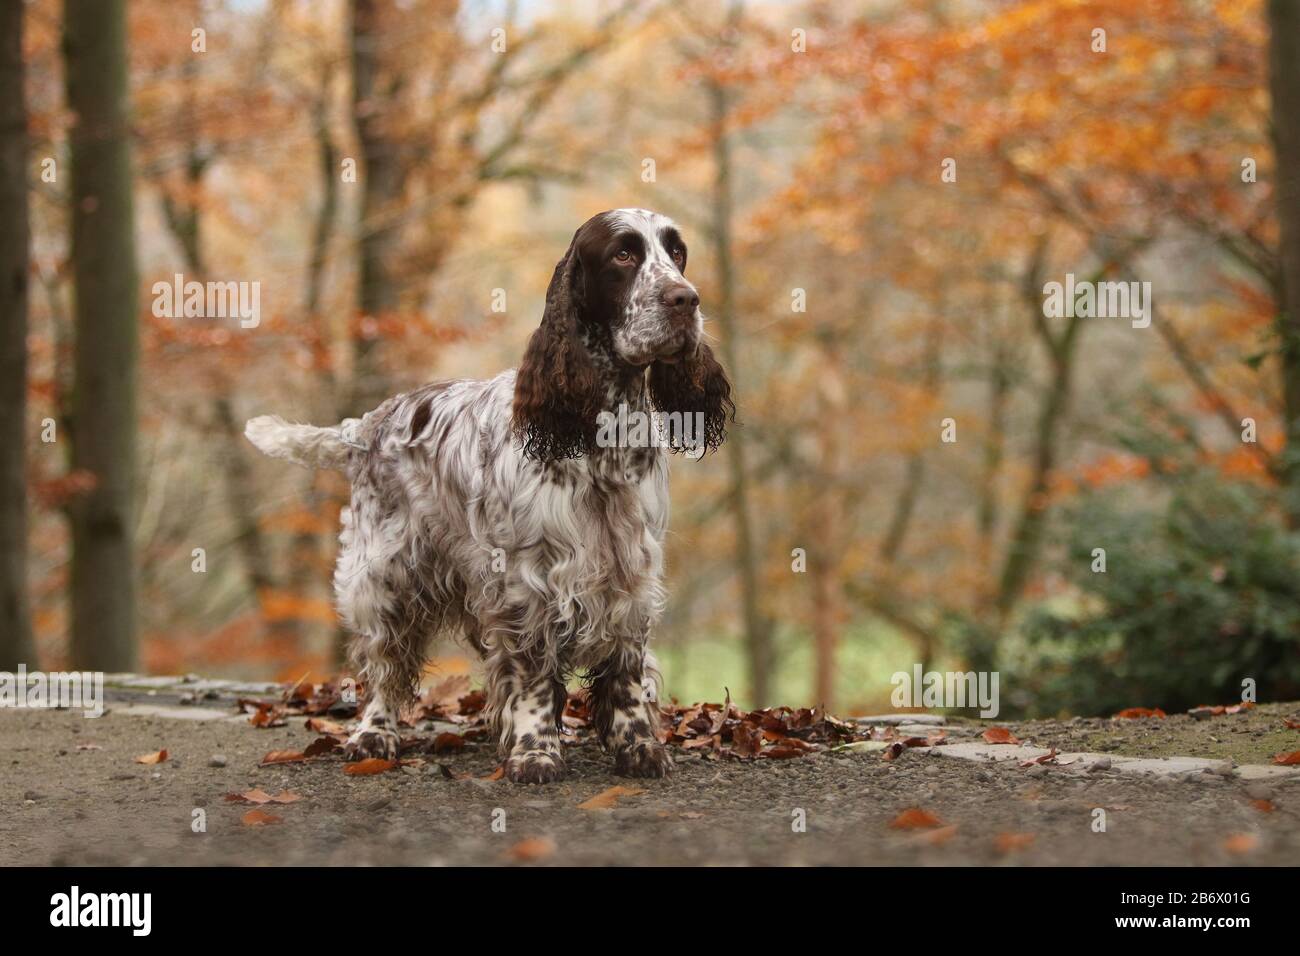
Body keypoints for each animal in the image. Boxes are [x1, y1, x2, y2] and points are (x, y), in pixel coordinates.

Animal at [244, 205, 733, 780]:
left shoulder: (630, 576)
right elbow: (533, 676)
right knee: (385, 670)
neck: (600, 440)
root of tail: (369, 423)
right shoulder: (527, 584)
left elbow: (626, 671)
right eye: (623, 254)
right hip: (384, 577)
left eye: (677, 253)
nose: (686, 300)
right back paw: (373, 735)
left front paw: (637, 745)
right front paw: (535, 750)